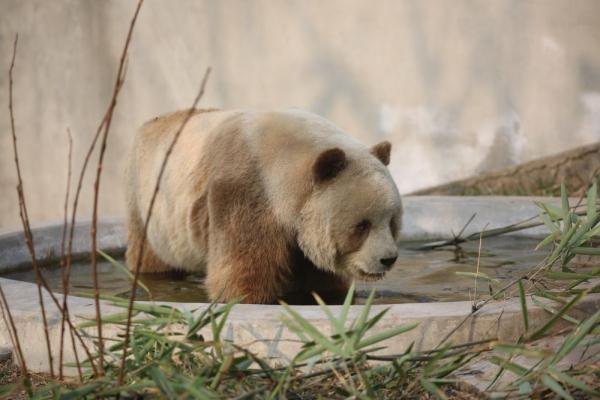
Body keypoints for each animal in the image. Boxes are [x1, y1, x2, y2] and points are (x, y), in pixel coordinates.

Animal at [124, 109, 400, 304]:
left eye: (392, 222)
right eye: (362, 226)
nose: (388, 259)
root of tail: (149, 124)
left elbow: (319, 278)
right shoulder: (247, 193)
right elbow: (243, 272)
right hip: (149, 203)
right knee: (150, 256)